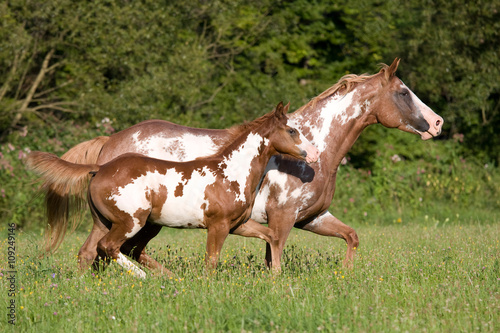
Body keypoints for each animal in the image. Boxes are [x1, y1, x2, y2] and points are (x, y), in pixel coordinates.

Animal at [26, 102, 316, 278]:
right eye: (291, 130)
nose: (312, 155)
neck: (229, 172)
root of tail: (101, 166)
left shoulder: (238, 225)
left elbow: (271, 236)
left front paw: (276, 274)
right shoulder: (218, 225)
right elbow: (212, 262)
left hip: (104, 221)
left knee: (89, 252)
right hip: (131, 221)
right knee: (108, 247)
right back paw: (145, 278)